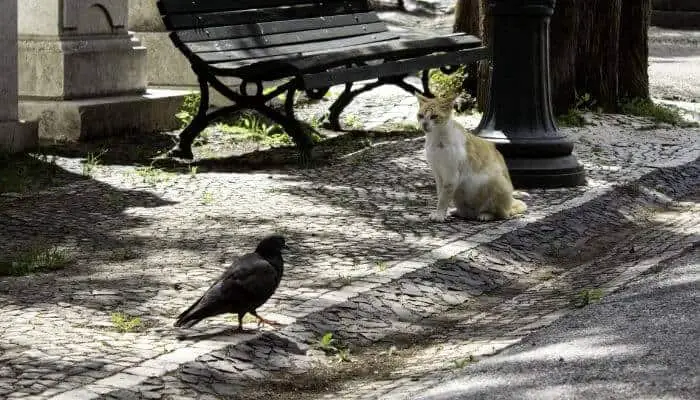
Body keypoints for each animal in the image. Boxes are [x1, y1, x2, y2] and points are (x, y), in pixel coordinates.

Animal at [416, 93, 524, 222]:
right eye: (421, 116)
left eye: (434, 116)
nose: (424, 124)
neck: (436, 139)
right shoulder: (438, 174)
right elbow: (440, 194)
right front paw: (441, 213)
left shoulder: (451, 176)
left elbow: (443, 198)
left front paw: (440, 215)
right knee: (465, 212)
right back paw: (457, 211)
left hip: (496, 182)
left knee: (501, 214)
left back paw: (485, 215)